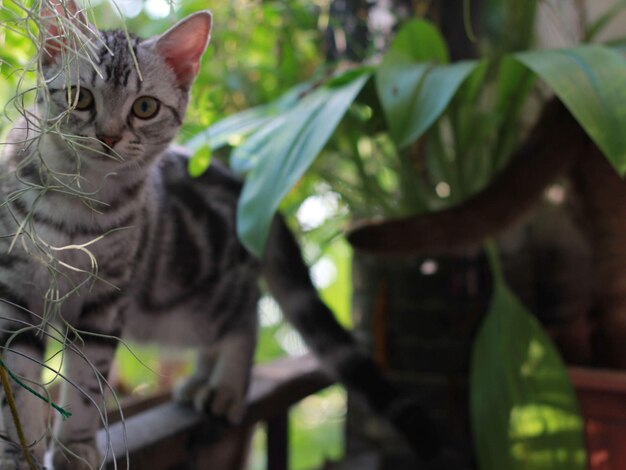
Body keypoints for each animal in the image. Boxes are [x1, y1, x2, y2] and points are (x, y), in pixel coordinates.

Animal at [0, 1, 442, 468]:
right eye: (78, 97)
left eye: (144, 107)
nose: (109, 136)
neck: (74, 210)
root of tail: (242, 181)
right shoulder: (16, 292)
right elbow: (21, 382)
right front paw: (21, 451)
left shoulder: (107, 299)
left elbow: (87, 383)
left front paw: (77, 445)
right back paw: (200, 382)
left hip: (196, 300)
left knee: (245, 321)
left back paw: (226, 388)